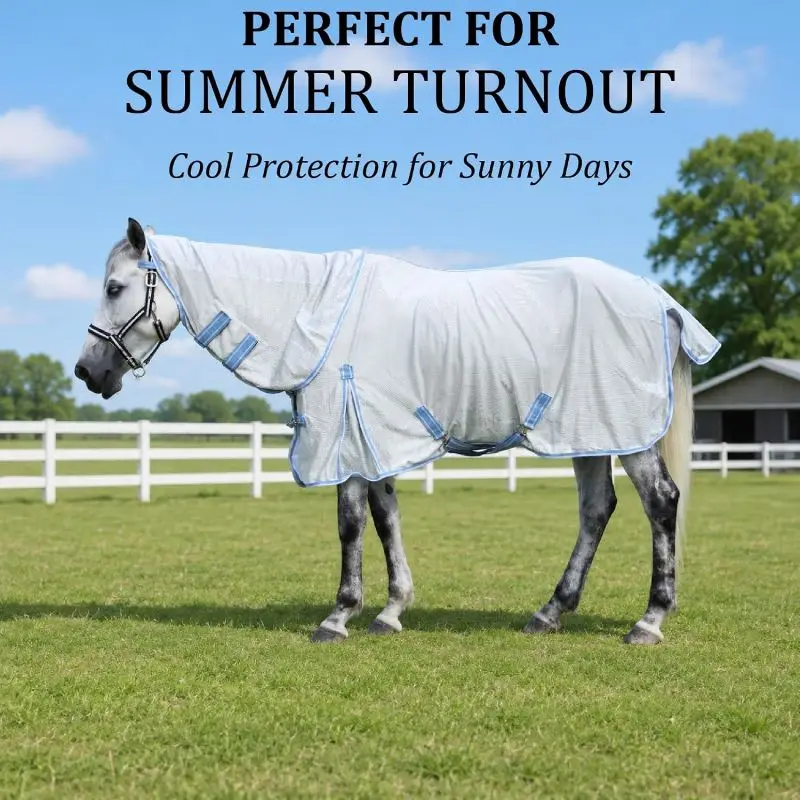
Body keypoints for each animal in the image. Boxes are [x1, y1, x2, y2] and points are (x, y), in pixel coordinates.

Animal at [74, 218, 720, 646]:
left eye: (114, 288)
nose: (87, 371)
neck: (315, 316)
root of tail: (657, 298)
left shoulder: (345, 436)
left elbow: (350, 525)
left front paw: (338, 617)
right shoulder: (371, 438)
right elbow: (386, 520)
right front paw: (390, 612)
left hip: (625, 431)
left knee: (660, 502)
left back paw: (648, 621)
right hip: (585, 432)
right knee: (596, 509)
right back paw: (548, 613)